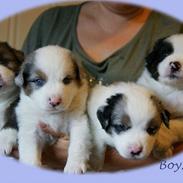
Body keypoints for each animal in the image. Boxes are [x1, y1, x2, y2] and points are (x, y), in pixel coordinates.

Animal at [15, 45, 91, 173]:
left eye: (66, 80)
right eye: (38, 81)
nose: (55, 101)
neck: (54, 114)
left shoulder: (79, 121)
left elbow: (78, 144)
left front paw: (74, 166)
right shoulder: (30, 127)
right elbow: (30, 151)